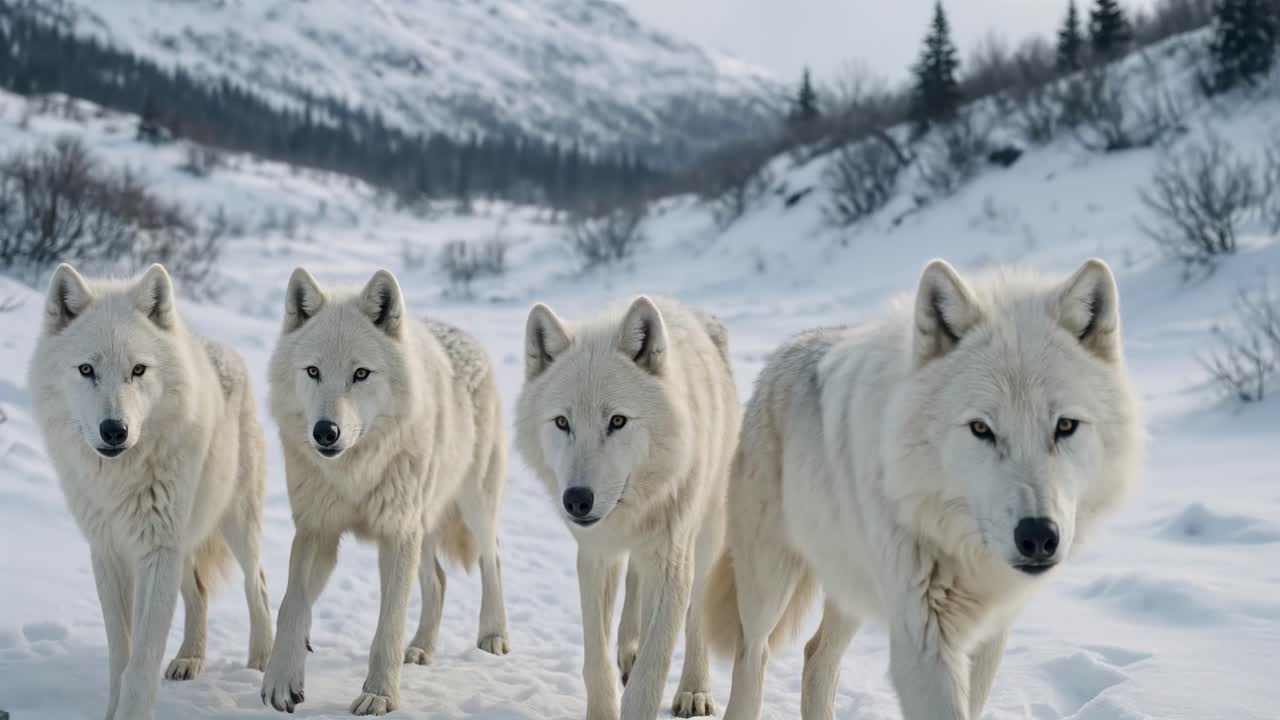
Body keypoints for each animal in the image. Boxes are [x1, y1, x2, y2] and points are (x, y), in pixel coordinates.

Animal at [28, 264, 274, 720]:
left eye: (139, 370)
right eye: (86, 370)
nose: (114, 430)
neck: (119, 481)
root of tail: (220, 348)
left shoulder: (157, 552)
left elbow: (141, 662)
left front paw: (132, 713)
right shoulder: (109, 553)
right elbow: (121, 656)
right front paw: (112, 711)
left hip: (235, 523)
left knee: (259, 583)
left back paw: (262, 660)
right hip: (184, 542)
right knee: (199, 593)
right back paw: (190, 658)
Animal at [260, 268, 510, 716]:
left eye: (361, 374)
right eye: (312, 371)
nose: (325, 432)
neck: (354, 472)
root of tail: (464, 335)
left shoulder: (396, 534)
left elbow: (388, 624)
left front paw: (379, 694)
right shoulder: (316, 530)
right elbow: (291, 604)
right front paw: (281, 681)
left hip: (472, 508)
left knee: (492, 559)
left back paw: (493, 637)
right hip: (422, 525)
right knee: (438, 581)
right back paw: (422, 648)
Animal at [515, 296, 741, 720]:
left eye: (617, 421)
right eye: (562, 423)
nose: (577, 499)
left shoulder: (672, 560)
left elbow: (651, 672)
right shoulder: (596, 554)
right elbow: (595, 661)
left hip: (706, 536)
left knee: (696, 614)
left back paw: (694, 689)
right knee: (634, 583)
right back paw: (629, 650)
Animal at [705, 259, 1144, 720]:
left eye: (1065, 426)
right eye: (981, 429)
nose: (1038, 536)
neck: (966, 553)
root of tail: (788, 349)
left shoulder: (990, 635)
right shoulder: (923, 638)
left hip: (850, 586)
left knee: (815, 656)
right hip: (770, 582)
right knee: (752, 653)